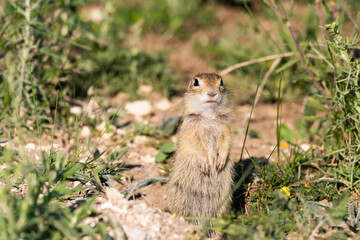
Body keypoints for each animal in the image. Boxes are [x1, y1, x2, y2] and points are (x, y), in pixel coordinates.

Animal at [166, 72, 233, 237]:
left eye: (221, 82)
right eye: (196, 82)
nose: (212, 93)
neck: (209, 115)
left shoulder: (226, 128)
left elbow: (227, 141)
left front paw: (220, 162)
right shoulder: (190, 129)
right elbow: (195, 145)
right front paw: (205, 164)